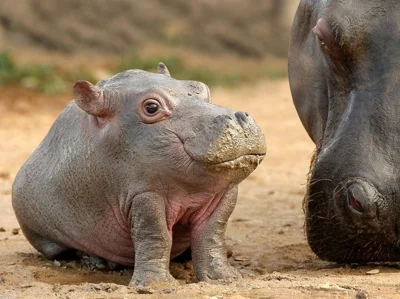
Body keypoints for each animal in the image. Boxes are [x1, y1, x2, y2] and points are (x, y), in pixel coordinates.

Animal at [13, 63, 266, 288]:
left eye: (202, 88)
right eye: (151, 107)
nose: (239, 118)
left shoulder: (222, 195)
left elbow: (212, 235)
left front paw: (225, 278)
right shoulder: (144, 196)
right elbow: (155, 236)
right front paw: (157, 285)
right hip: (42, 234)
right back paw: (98, 261)